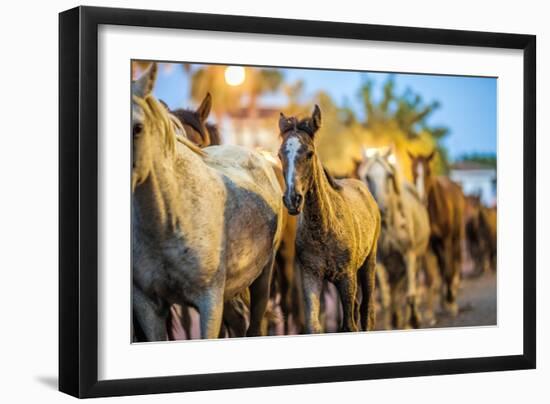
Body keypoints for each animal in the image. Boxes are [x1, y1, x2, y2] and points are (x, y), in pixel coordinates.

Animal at [278, 105, 382, 332]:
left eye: (309, 153)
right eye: (280, 155)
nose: (292, 199)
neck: (324, 229)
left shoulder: (347, 278)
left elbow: (350, 325)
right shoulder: (311, 276)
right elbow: (314, 325)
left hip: (368, 263)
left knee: (366, 310)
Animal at [410, 152, 466, 316]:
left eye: (428, 172)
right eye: (413, 172)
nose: (421, 198)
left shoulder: (446, 240)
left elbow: (448, 271)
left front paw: (451, 303)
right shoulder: (428, 245)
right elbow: (430, 276)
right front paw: (429, 313)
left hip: (454, 239)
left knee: (451, 265)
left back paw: (449, 299)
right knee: (441, 266)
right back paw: (442, 300)